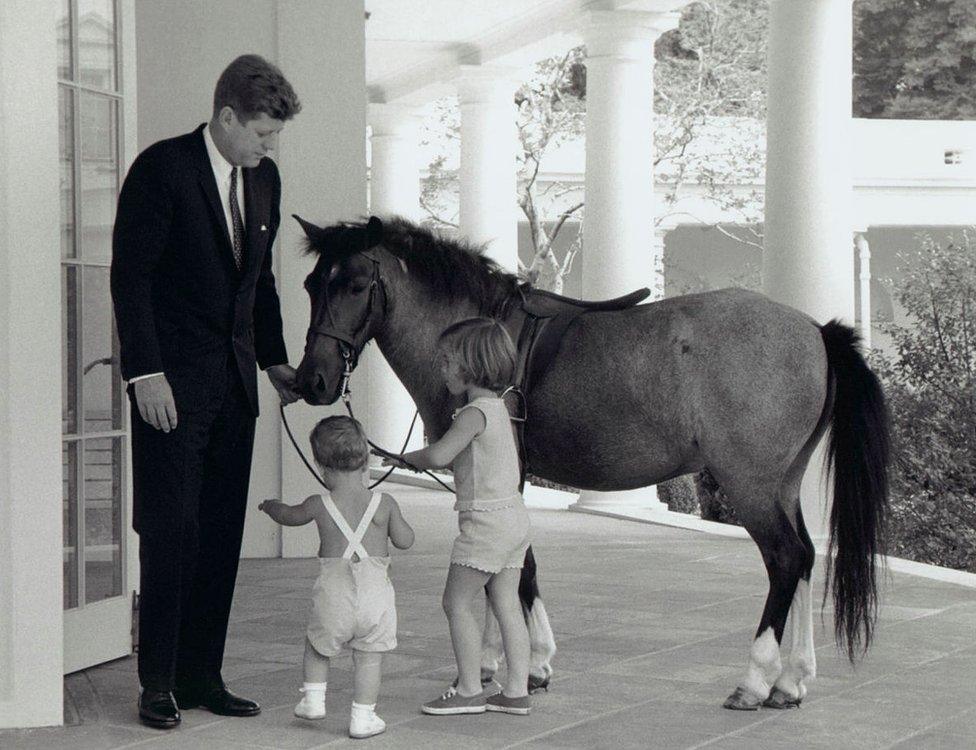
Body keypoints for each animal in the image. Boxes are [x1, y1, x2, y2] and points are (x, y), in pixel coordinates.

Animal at [292, 216, 892, 712]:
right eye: (311, 285)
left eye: (353, 285)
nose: (313, 381)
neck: (481, 335)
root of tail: (815, 332)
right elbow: (499, 565)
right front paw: (495, 662)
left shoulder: (492, 476)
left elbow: (513, 567)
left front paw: (527, 665)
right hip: (782, 484)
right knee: (808, 557)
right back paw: (792, 681)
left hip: (750, 485)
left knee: (785, 559)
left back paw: (755, 680)